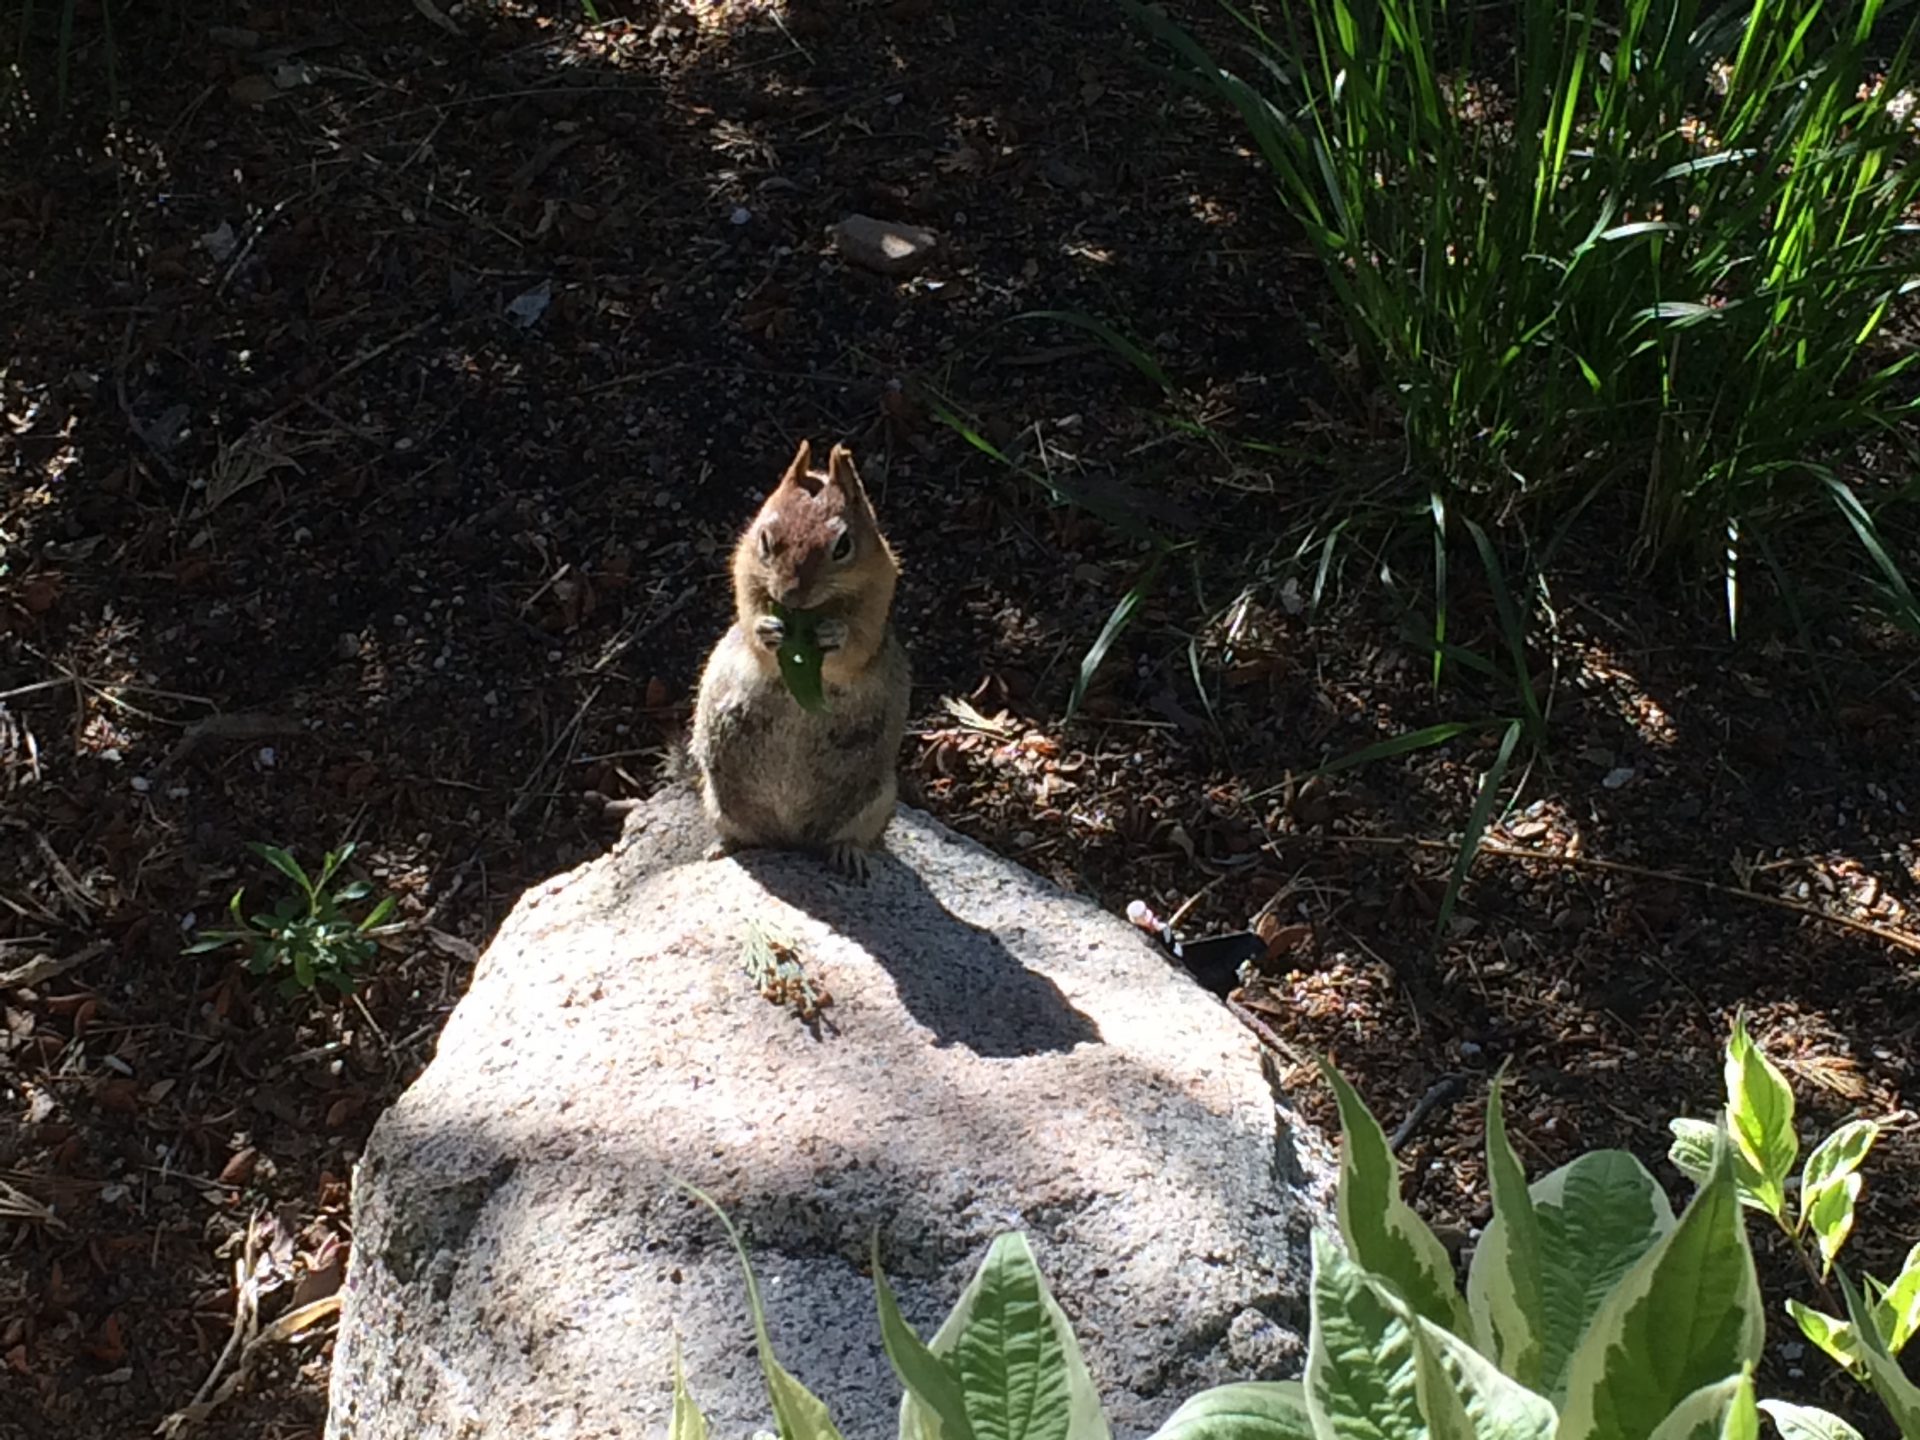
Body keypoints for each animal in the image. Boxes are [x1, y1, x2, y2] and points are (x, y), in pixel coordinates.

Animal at [691, 439, 913, 879]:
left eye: (842, 546)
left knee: (854, 838)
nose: (791, 595)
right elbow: (750, 617)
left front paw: (834, 635)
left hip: (876, 803)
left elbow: (857, 645)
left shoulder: (879, 593)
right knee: (742, 835)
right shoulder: (744, 568)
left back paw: (849, 854)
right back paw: (723, 847)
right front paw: (766, 629)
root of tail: (789, 838)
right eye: (765, 538)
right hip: (716, 800)